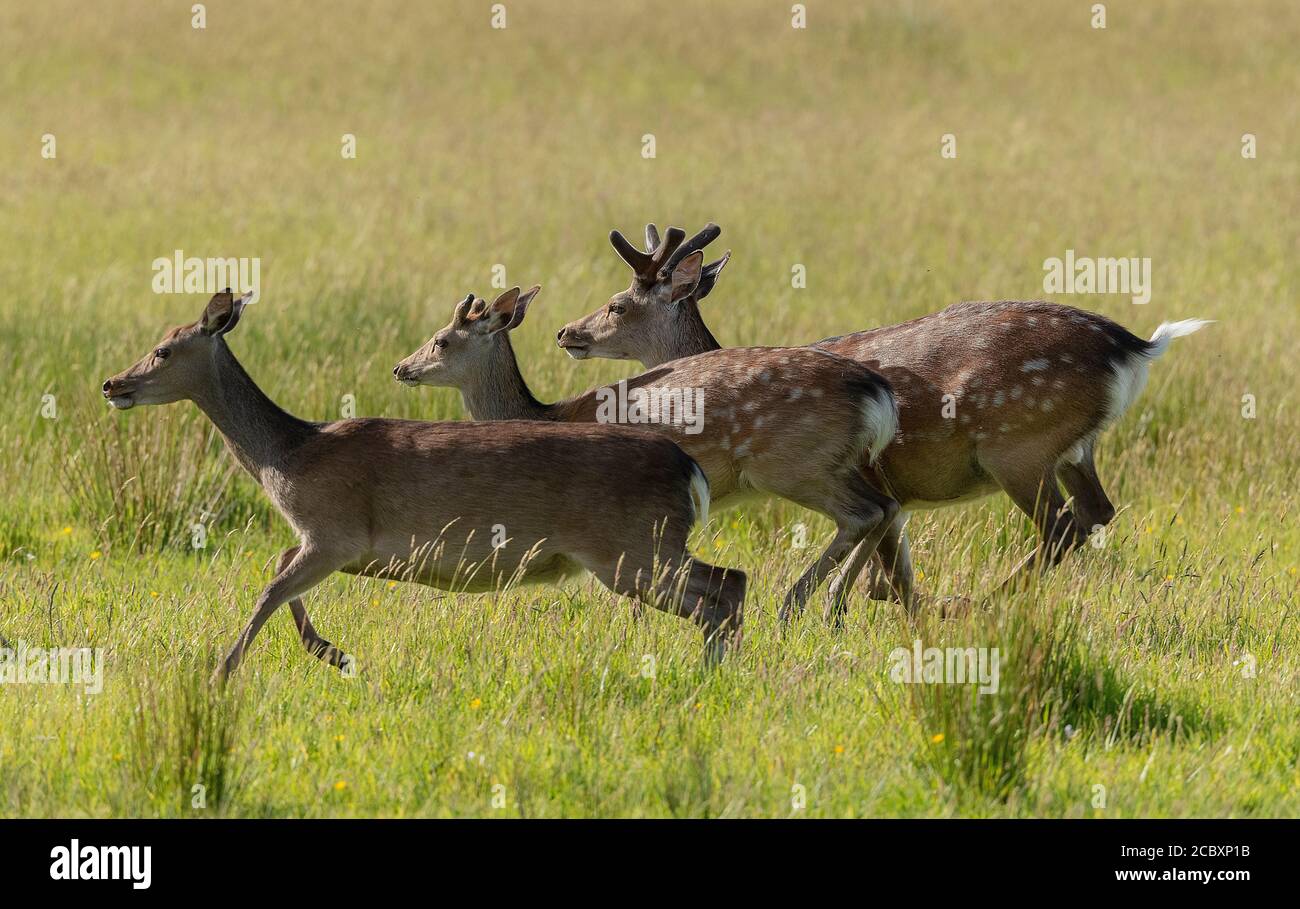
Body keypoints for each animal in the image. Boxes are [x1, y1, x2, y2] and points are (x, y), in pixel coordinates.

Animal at [101, 291, 748, 676]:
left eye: (162, 350)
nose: (112, 383)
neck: (288, 457)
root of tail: (685, 467)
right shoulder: (325, 540)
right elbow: (278, 571)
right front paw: (333, 653)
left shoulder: (335, 530)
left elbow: (269, 589)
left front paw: (220, 674)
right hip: (642, 548)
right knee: (729, 584)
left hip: (630, 546)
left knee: (723, 587)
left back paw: (712, 675)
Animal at [392, 274, 904, 626]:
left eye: (441, 340)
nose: (400, 368)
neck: (551, 415)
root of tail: (876, 392)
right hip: (833, 463)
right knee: (886, 507)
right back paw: (833, 607)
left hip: (793, 462)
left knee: (863, 513)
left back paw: (794, 603)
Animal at [553, 222, 1211, 611]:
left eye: (616, 303)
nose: (567, 332)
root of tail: (1134, 347)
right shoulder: (895, 490)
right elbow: (896, 567)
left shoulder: (872, 475)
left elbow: (885, 562)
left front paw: (840, 606)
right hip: (1077, 448)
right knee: (1098, 511)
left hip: (1017, 444)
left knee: (1061, 525)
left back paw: (987, 600)